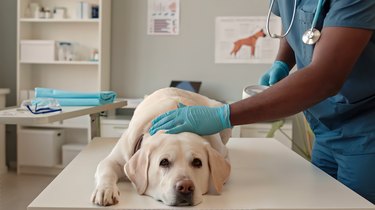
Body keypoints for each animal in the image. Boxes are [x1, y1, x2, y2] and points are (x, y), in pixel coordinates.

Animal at [92, 87, 232, 207]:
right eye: (164, 162)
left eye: (197, 162)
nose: (185, 187)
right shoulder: (114, 160)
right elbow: (106, 170)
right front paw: (105, 190)